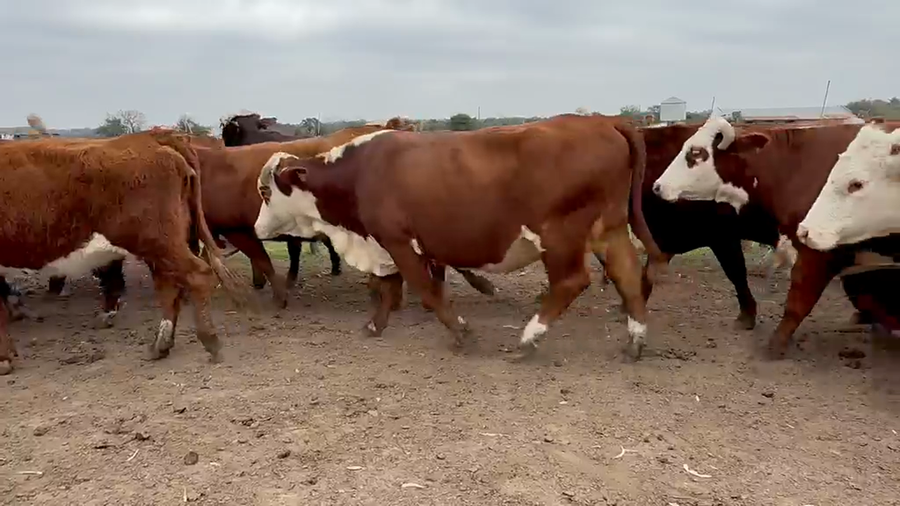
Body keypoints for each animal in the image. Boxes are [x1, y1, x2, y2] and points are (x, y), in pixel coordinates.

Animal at [0, 129, 248, 375]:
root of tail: (150, 136)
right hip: (160, 246)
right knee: (169, 286)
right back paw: (161, 345)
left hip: (158, 241)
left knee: (197, 275)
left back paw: (210, 341)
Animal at [253, 114, 668, 360]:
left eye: (265, 191)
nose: (257, 228)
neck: (360, 173)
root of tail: (602, 120)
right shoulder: (386, 244)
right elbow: (389, 287)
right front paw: (376, 324)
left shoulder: (399, 242)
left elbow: (427, 290)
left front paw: (460, 333)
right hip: (608, 229)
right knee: (628, 275)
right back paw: (635, 339)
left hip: (560, 236)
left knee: (571, 282)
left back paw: (529, 337)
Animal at [652, 115, 896, 358]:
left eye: (696, 153)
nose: (658, 186)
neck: (791, 168)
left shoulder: (815, 252)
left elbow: (797, 300)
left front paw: (777, 341)